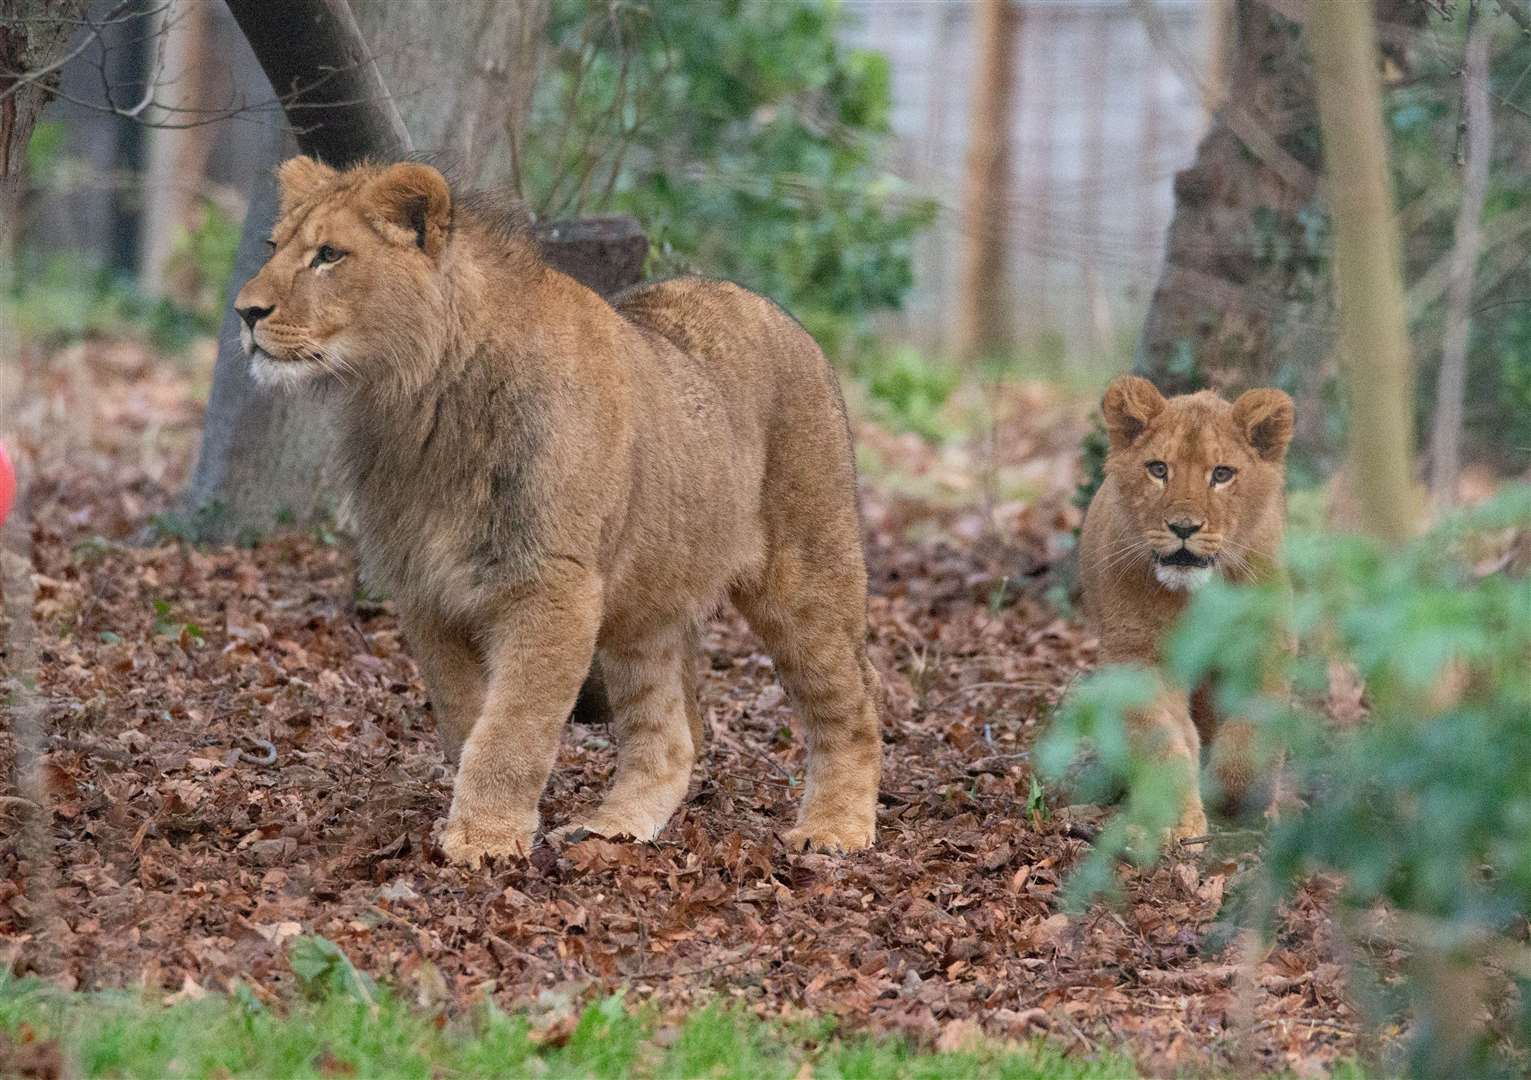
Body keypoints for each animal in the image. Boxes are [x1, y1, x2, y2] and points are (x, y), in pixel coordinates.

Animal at [231, 160, 881, 864]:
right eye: (273, 247)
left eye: (329, 255)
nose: (244, 311)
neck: (417, 405)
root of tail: (777, 313)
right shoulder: (426, 591)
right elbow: (466, 717)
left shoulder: (552, 585)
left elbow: (513, 724)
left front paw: (485, 840)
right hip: (647, 602)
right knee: (671, 736)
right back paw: (614, 827)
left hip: (806, 574)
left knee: (855, 699)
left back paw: (834, 830)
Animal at [1077, 375, 1292, 839]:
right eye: (1159, 469)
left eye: (1222, 474)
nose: (1183, 527)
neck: (1197, 596)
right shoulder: (1138, 655)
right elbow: (1161, 744)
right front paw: (1175, 820)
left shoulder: (1264, 642)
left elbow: (1253, 729)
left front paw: (1240, 799)